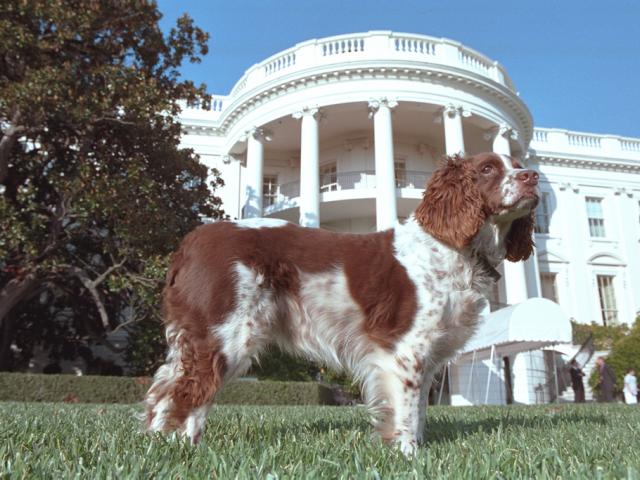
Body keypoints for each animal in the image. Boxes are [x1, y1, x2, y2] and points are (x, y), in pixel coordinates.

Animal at [142, 152, 536, 456]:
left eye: (517, 164)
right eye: (488, 168)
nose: (533, 177)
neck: (453, 248)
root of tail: (192, 239)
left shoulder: (428, 357)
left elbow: (420, 409)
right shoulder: (406, 351)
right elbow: (406, 411)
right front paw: (408, 454)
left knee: (166, 390)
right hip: (230, 334)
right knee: (190, 391)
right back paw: (185, 448)